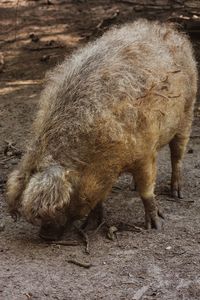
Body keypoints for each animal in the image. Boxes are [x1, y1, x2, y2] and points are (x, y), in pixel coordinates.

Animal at [5, 18, 198, 239]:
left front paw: (155, 225)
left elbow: (147, 189)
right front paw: (88, 227)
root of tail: (167, 28)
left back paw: (177, 192)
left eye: (59, 207)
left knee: (177, 155)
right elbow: (97, 198)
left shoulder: (145, 151)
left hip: (187, 112)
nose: (44, 237)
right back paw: (132, 187)